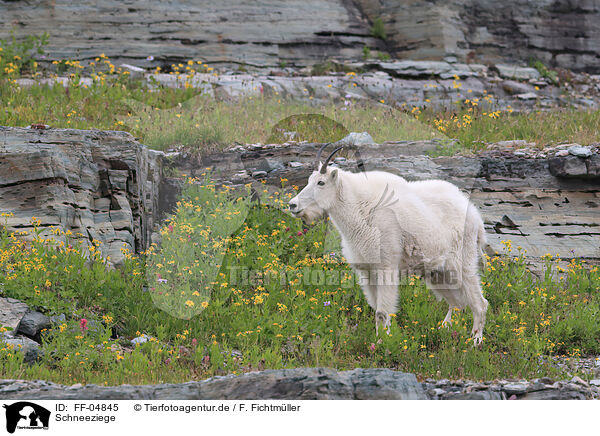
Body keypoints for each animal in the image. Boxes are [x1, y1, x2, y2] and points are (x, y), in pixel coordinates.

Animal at [288, 145, 490, 346]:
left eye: (321, 183)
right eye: (309, 180)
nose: (292, 205)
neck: (358, 209)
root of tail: (476, 216)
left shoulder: (386, 266)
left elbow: (381, 312)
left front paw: (380, 344)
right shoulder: (367, 271)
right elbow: (376, 308)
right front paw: (383, 338)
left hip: (462, 261)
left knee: (479, 303)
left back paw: (475, 341)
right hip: (437, 272)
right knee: (457, 303)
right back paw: (444, 331)